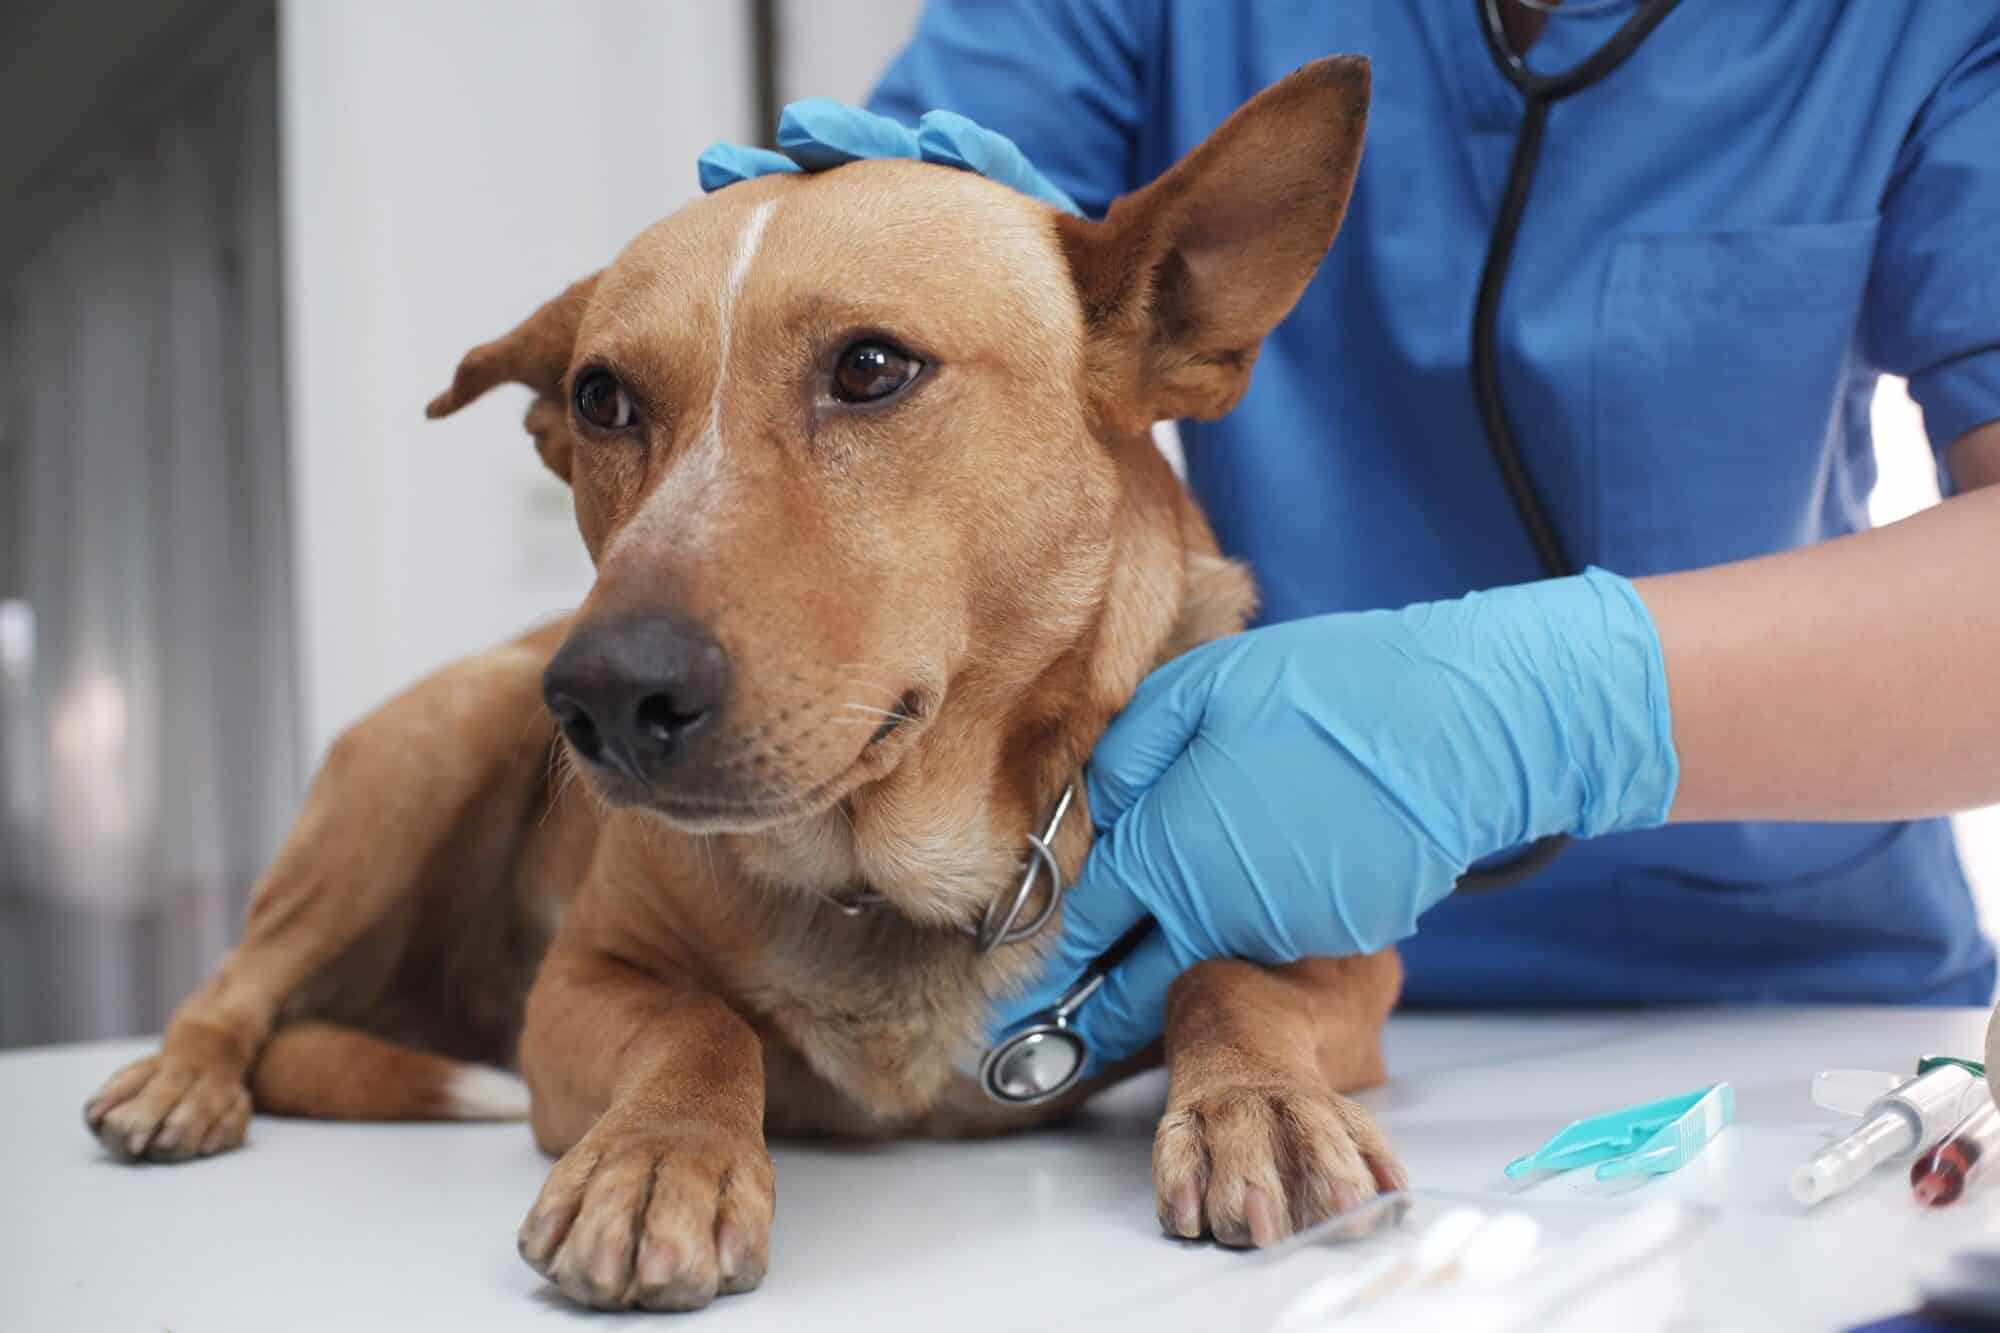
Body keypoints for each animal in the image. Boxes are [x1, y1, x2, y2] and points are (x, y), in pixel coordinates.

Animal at [86, 57, 1408, 1304]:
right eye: (600, 399)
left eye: (871, 367)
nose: (601, 698)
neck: (885, 874)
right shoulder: (574, 991)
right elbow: (699, 1020)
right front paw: (658, 1154)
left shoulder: (1354, 966)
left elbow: (1231, 979)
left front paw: (1259, 1102)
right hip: (425, 752)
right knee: (239, 981)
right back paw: (180, 1079)